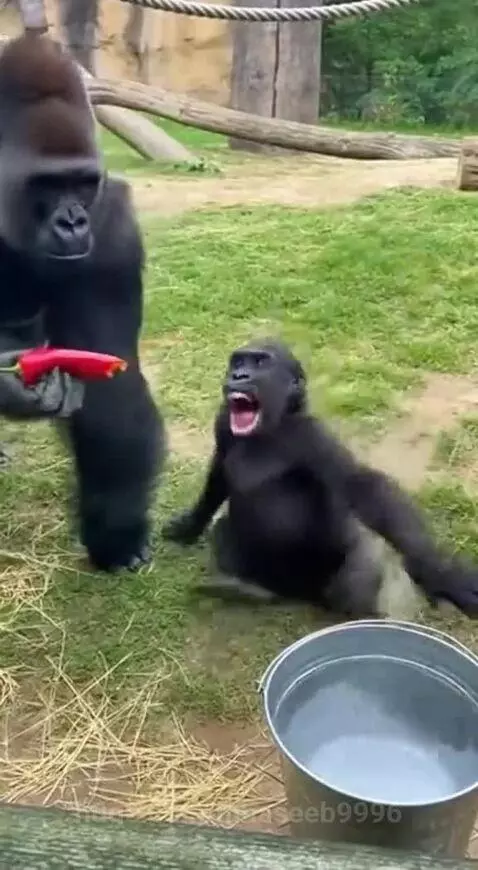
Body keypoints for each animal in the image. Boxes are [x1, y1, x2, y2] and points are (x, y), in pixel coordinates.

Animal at [162, 339, 478, 618]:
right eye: (237, 362)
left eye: (260, 362)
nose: (239, 375)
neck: (274, 424)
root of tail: (299, 595)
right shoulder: (223, 422)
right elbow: (218, 475)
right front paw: (190, 526)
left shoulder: (312, 437)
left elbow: (360, 484)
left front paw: (441, 573)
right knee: (225, 533)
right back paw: (245, 589)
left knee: (361, 564)